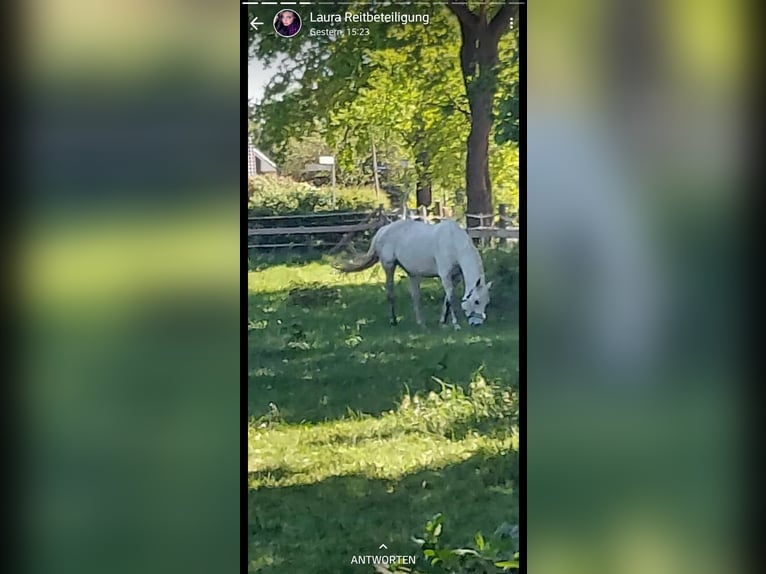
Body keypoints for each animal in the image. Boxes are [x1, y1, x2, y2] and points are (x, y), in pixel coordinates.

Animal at [336, 219, 492, 328]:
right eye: (477, 301)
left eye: (486, 302)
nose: (477, 324)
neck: (453, 242)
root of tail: (382, 230)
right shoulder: (445, 275)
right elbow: (450, 297)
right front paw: (455, 324)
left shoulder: (455, 277)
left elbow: (447, 300)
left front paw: (443, 321)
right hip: (389, 266)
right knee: (390, 292)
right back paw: (393, 321)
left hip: (412, 274)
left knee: (415, 296)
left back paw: (420, 323)